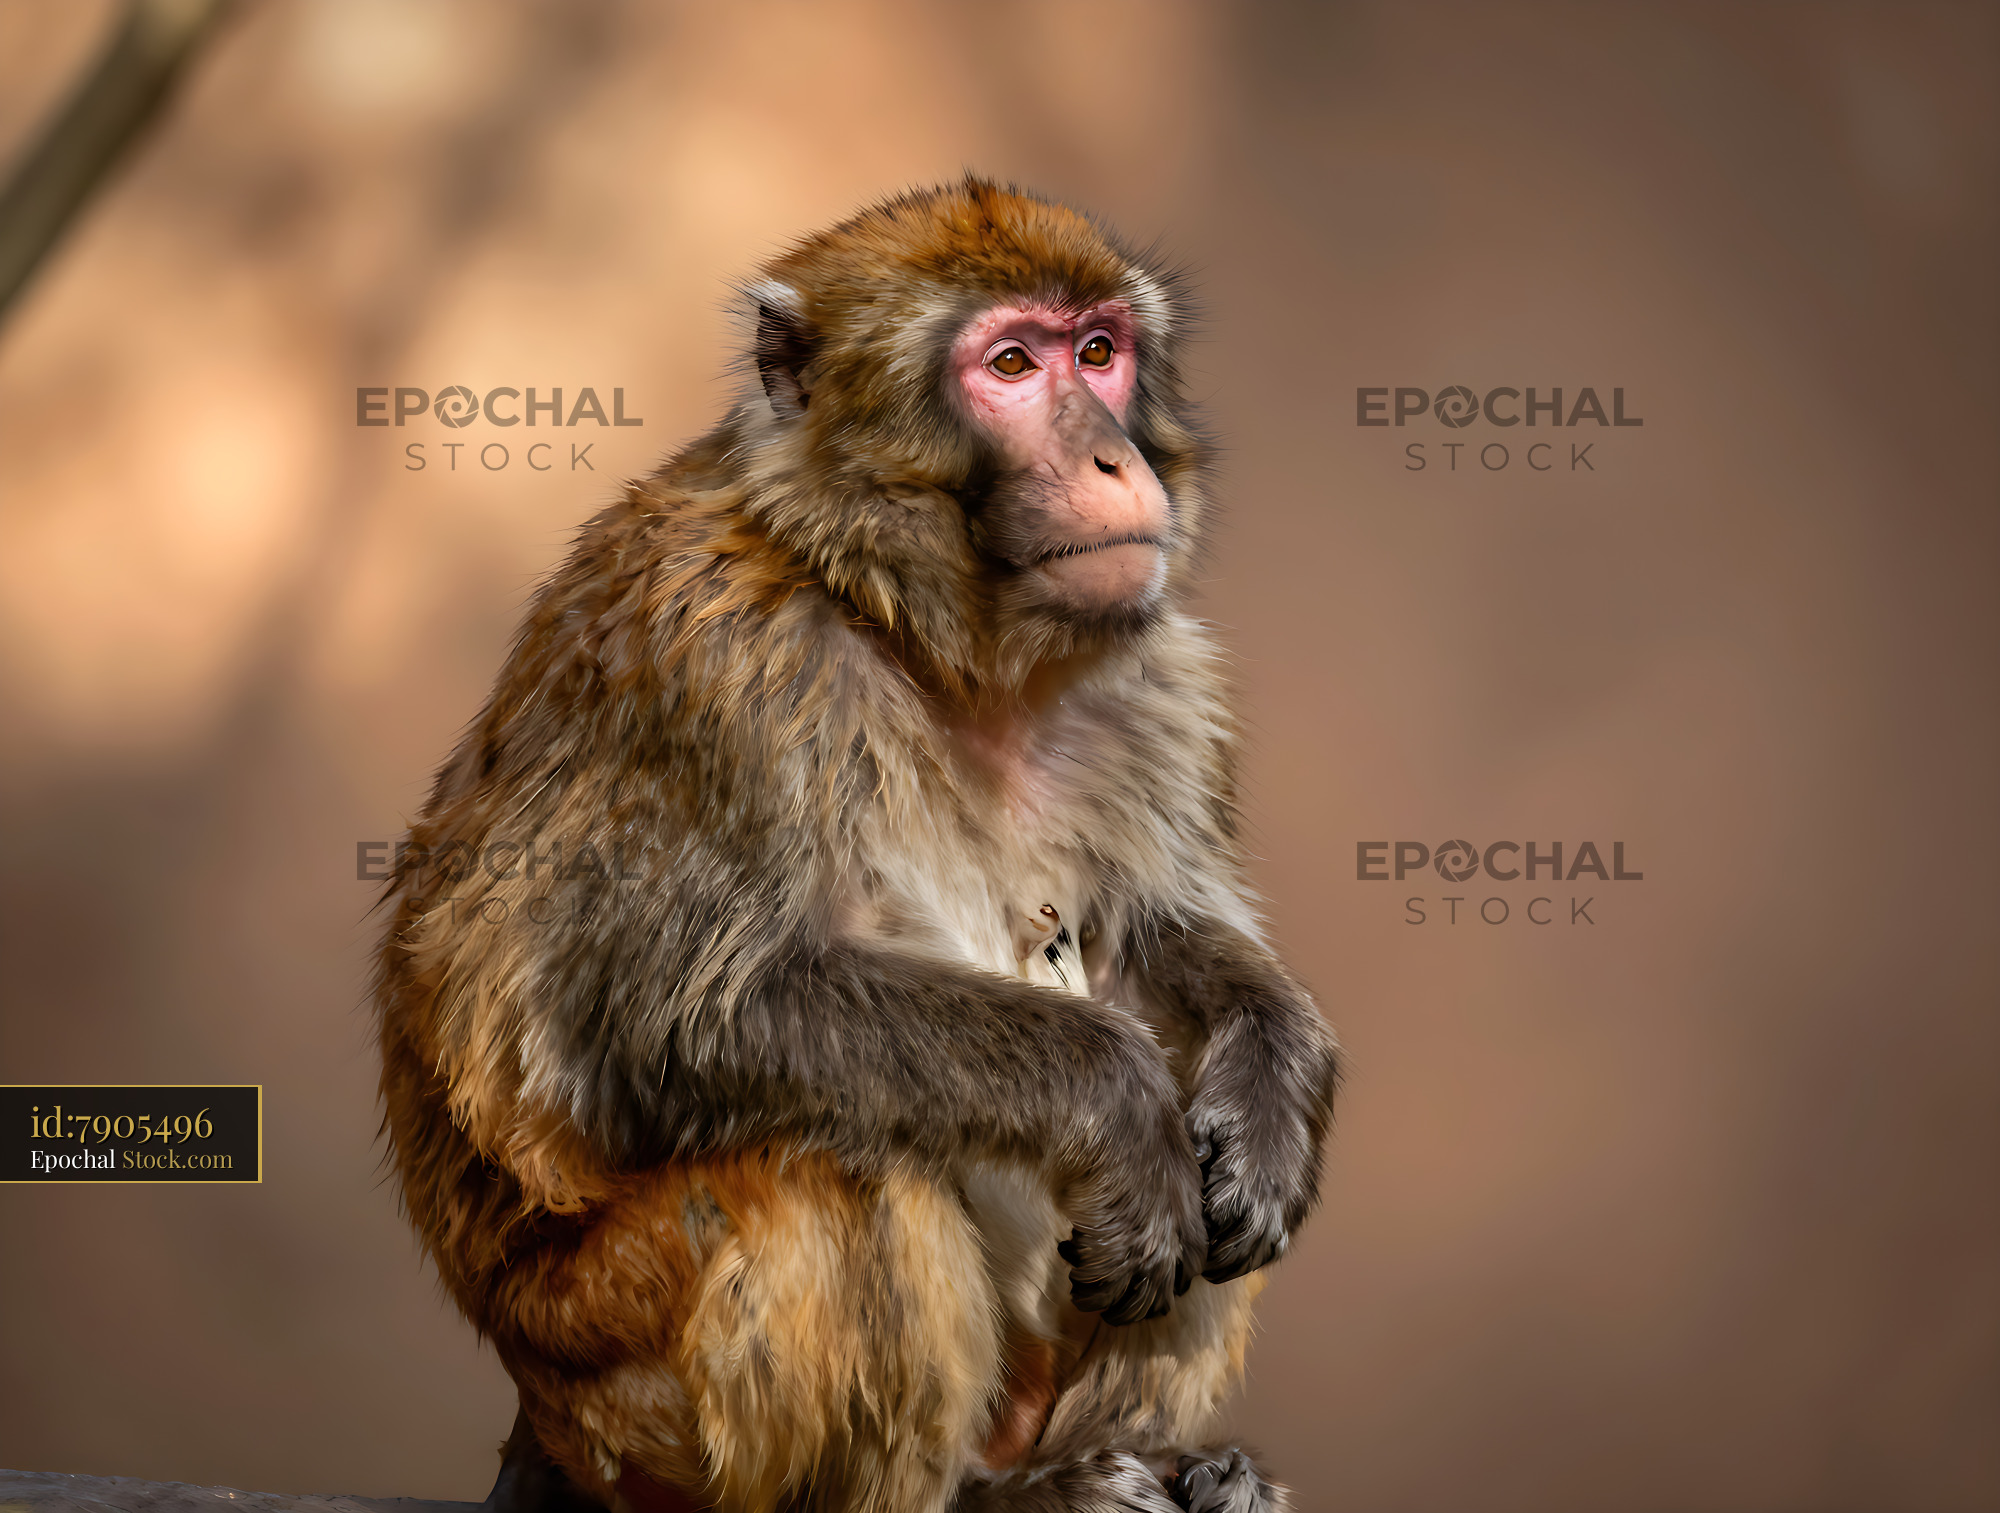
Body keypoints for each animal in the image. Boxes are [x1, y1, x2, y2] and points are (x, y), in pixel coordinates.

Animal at [374, 177, 1339, 1513]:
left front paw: (1271, 1085)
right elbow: (694, 1016)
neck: (915, 627)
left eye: (1098, 351)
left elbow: (1157, 935)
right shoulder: (720, 663)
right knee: (843, 1154)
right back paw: (990, 1498)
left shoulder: (1162, 683)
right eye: (1009, 364)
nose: (1111, 452)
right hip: (623, 1398)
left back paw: (1140, 1456)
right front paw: (1116, 1100)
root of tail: (538, 1421)